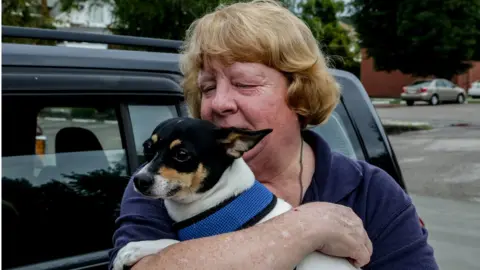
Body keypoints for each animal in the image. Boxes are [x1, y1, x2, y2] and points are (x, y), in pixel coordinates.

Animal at [112, 117, 358, 270]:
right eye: (147, 147)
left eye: (182, 154)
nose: (139, 180)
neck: (221, 201)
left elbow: (173, 243)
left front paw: (133, 249)